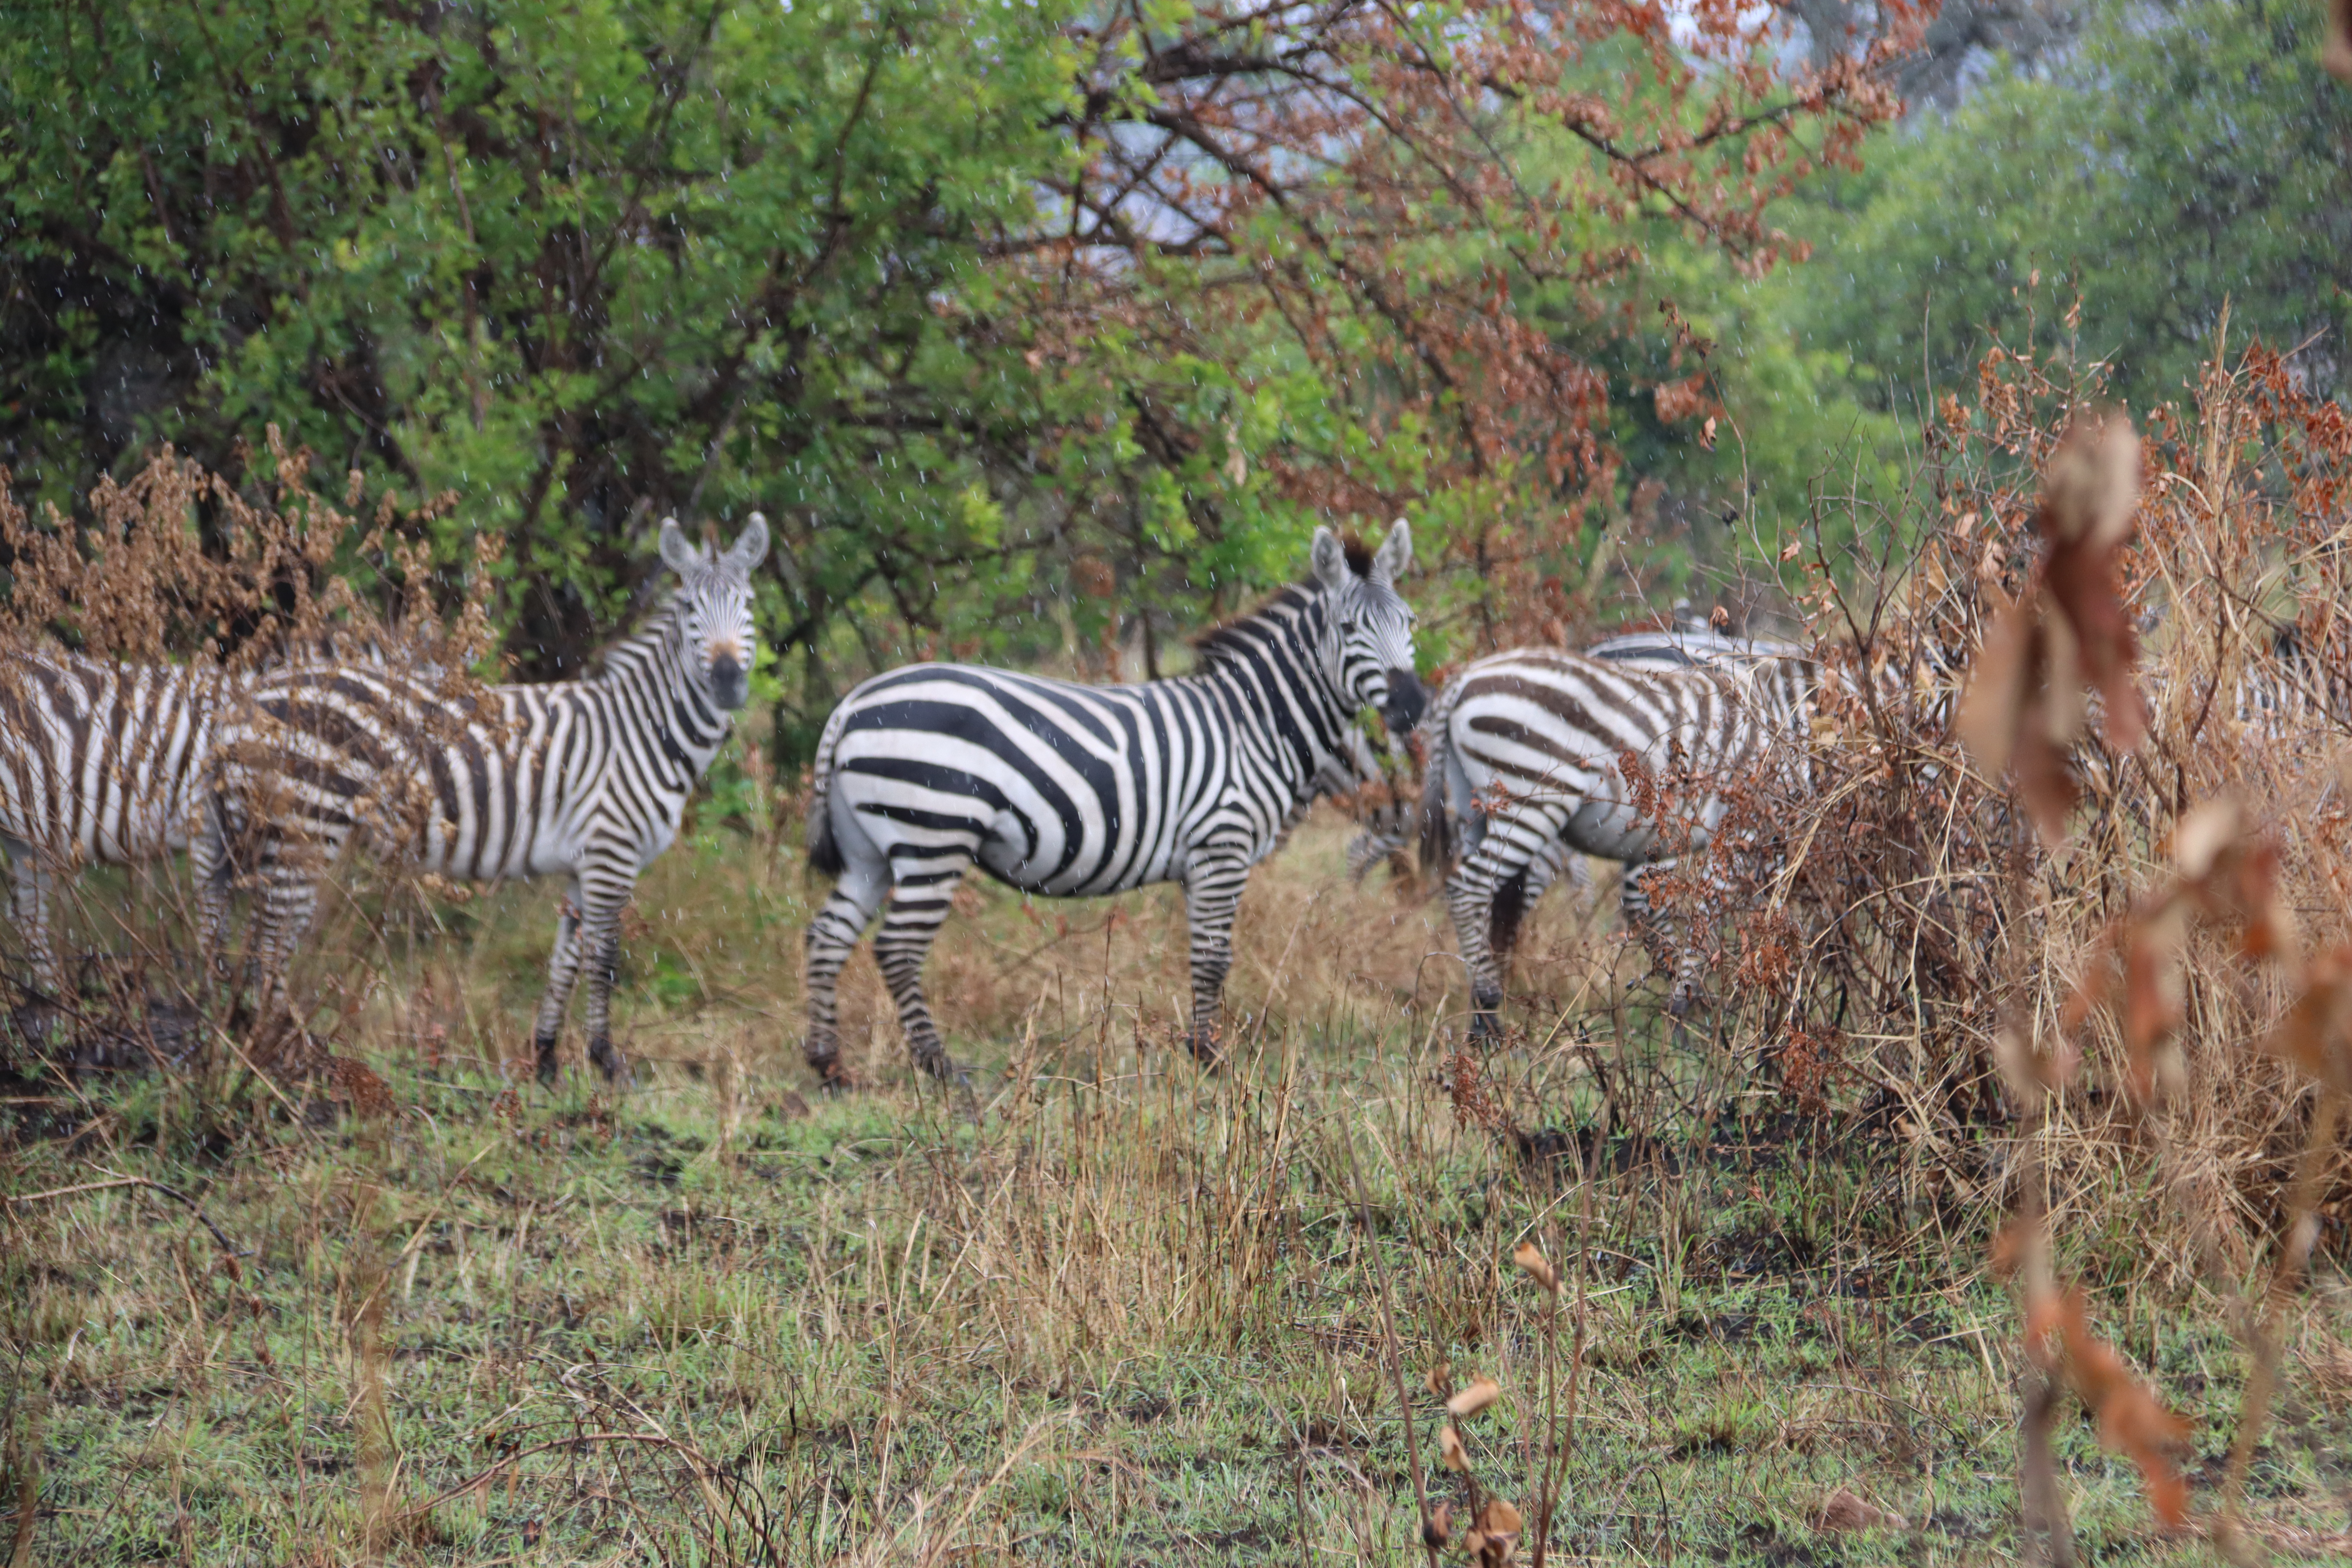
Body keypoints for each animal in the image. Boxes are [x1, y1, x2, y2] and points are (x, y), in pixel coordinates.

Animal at [198, 516, 769, 1084]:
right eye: (690, 610)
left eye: (749, 604)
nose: (727, 681)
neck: (643, 730)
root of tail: (243, 699)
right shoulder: (612, 853)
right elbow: (605, 959)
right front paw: (607, 1063)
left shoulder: (583, 864)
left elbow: (566, 960)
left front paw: (545, 1061)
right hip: (305, 827)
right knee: (271, 944)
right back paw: (284, 1052)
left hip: (262, 836)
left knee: (250, 938)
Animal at [801, 520, 1423, 1082]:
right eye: (1348, 627)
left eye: (1409, 623)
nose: (1411, 704)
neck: (1253, 725)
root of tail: (850, 705)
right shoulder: (1222, 847)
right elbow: (1214, 958)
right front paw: (1212, 1059)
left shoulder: (1202, 863)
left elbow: (1204, 956)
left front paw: (1199, 1048)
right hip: (934, 836)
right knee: (898, 948)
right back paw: (939, 1067)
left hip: (869, 851)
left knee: (827, 936)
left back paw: (829, 1066)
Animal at [1416, 643, 1816, 1037]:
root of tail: (1460, 680)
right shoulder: (1750, 831)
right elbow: (1728, 918)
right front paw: (1693, 1010)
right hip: (1533, 794)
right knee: (1468, 890)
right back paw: (1488, 1010)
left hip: (1474, 807)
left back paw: (1480, 1018)